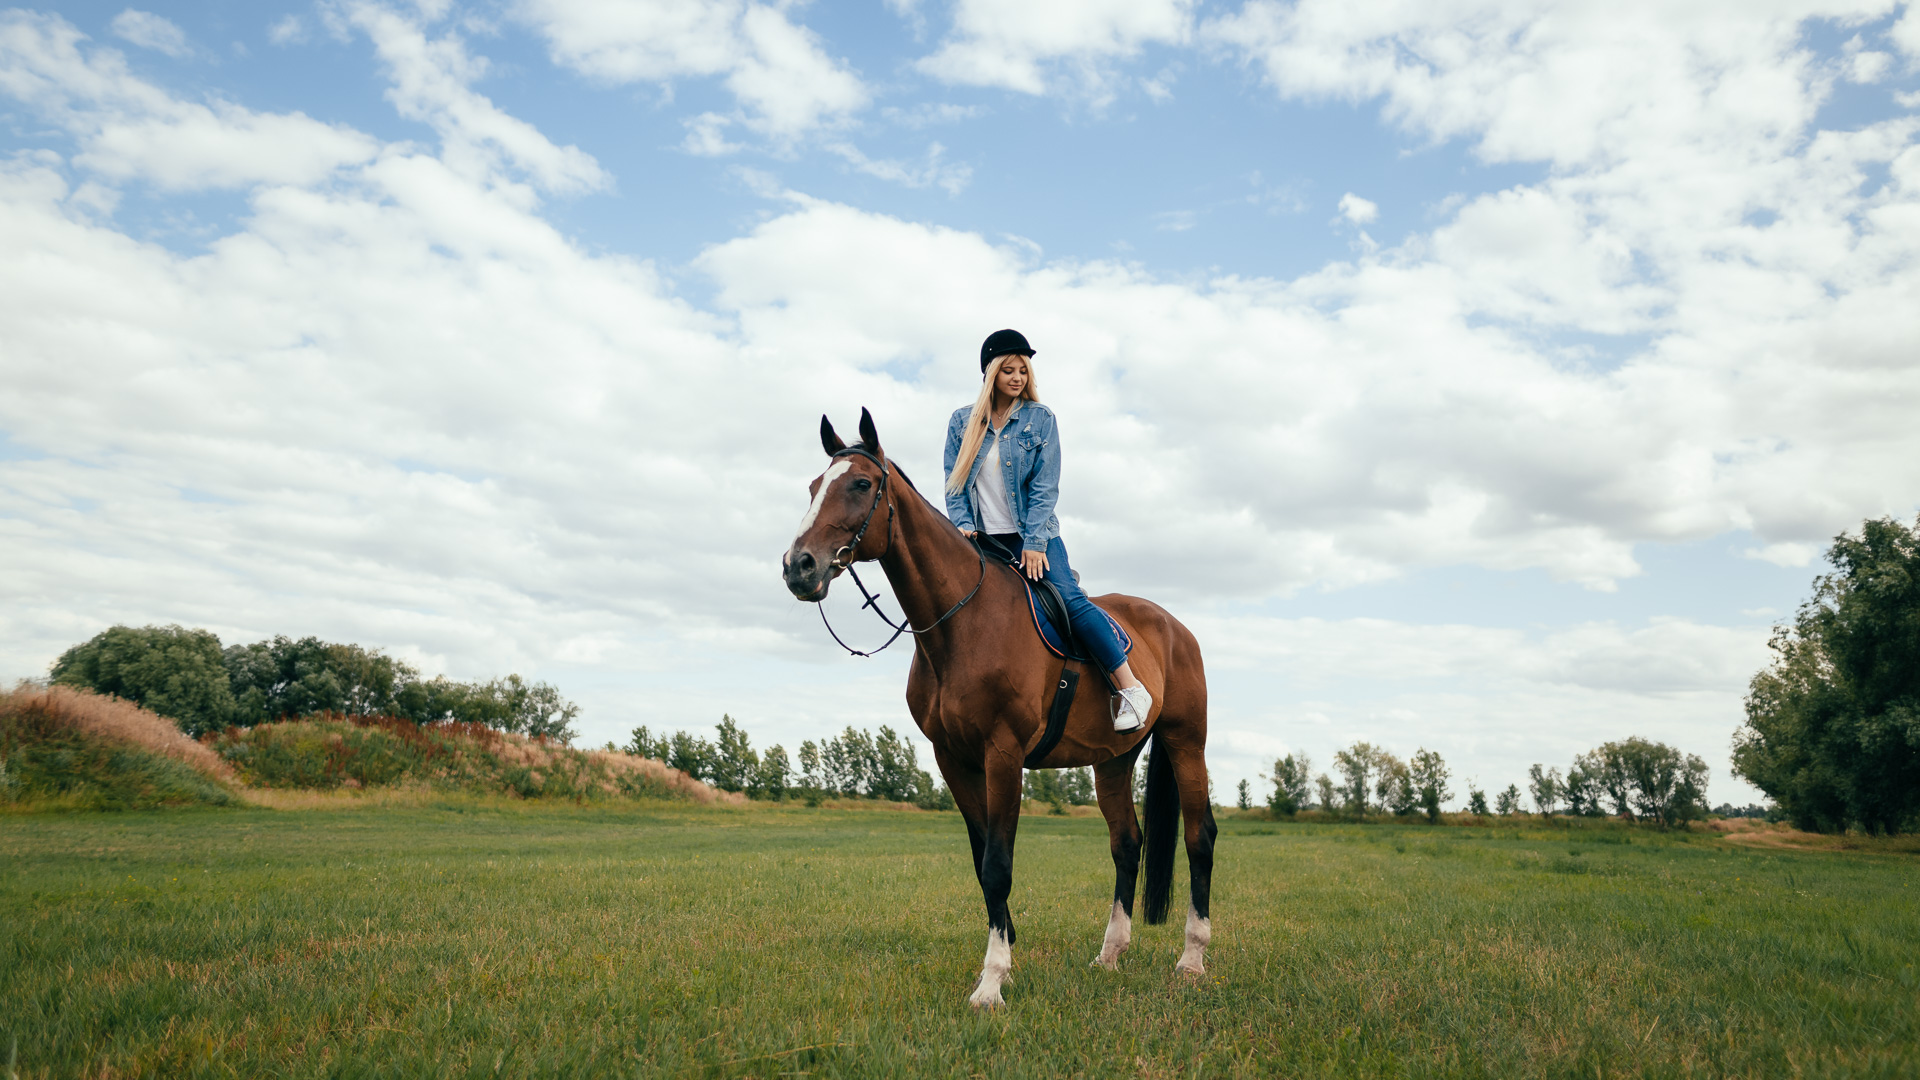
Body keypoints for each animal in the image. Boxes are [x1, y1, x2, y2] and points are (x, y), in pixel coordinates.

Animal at [783, 407, 1213, 1006]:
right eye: (812, 487)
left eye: (862, 484)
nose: (799, 566)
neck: (962, 623)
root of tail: (1175, 627)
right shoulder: (953, 759)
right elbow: (980, 858)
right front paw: (1004, 956)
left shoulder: (1004, 755)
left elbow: (998, 865)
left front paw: (991, 982)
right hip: (1113, 760)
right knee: (1127, 844)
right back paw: (1110, 954)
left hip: (1184, 742)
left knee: (1199, 839)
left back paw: (1192, 959)